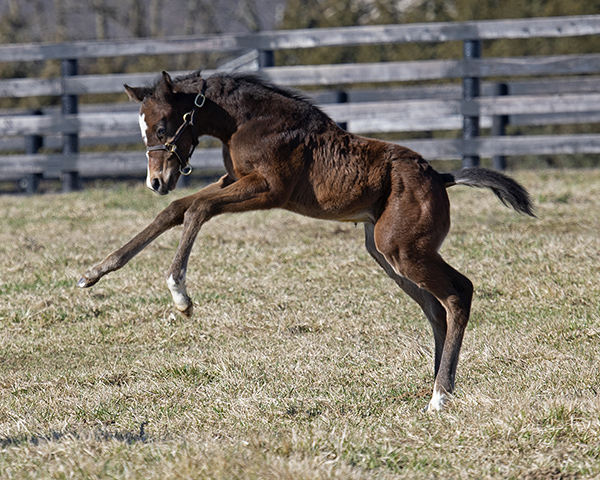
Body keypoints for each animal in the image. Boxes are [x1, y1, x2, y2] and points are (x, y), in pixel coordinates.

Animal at [76, 69, 536, 410]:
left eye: (163, 126)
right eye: (144, 130)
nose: (156, 181)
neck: (246, 122)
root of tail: (440, 176)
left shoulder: (267, 190)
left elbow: (197, 210)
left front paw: (180, 295)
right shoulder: (233, 180)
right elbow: (176, 210)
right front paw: (93, 273)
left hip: (403, 249)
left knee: (459, 294)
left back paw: (440, 397)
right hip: (385, 252)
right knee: (436, 308)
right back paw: (436, 384)